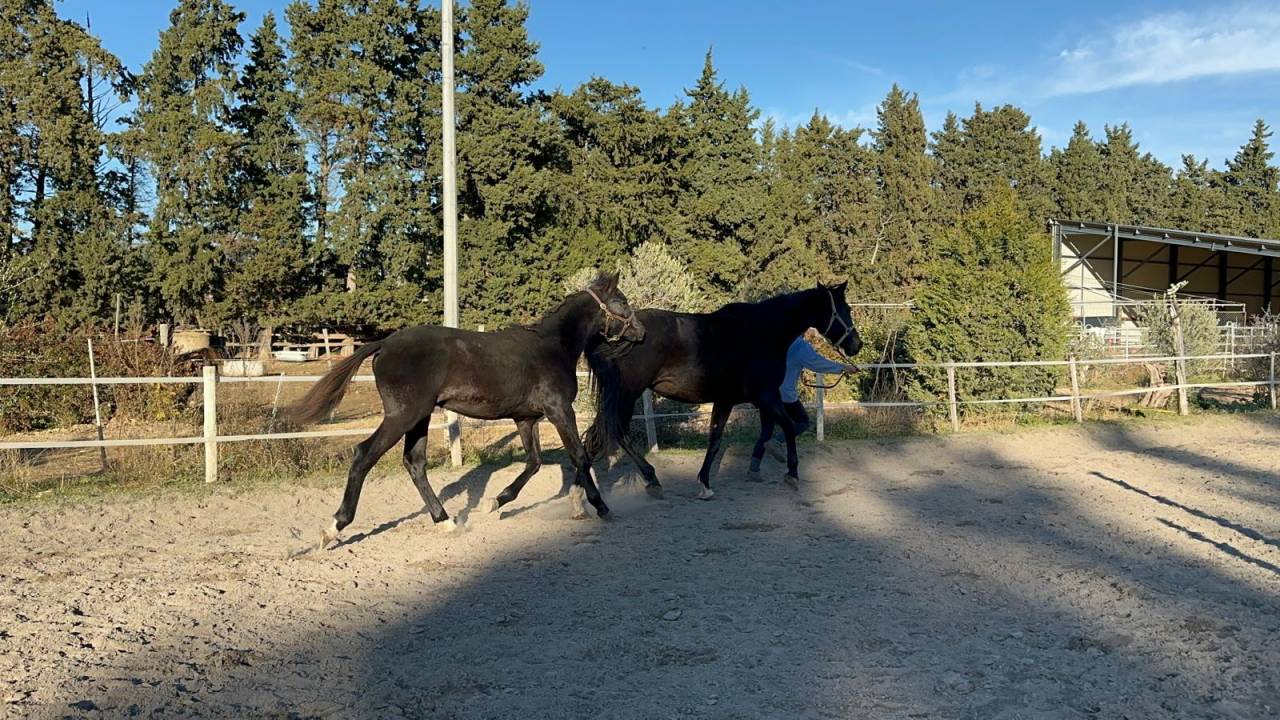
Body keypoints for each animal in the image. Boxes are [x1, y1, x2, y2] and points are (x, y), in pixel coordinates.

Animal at [290, 273, 645, 547]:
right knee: (364, 455)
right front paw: (600, 507)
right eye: (622, 301)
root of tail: (384, 344)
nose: (641, 333)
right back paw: (333, 528)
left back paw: (446, 522)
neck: (553, 347)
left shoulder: (525, 419)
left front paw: (495, 502)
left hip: (419, 417)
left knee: (414, 463)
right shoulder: (559, 411)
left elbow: (533, 462)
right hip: (402, 416)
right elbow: (580, 456)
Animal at [583, 282, 861, 499]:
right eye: (845, 310)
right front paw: (792, 473)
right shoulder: (767, 396)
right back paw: (649, 481)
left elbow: (716, 440)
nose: (856, 344)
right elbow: (790, 428)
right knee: (615, 433)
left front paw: (705, 483)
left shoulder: (728, 400)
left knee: (596, 437)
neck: (764, 332)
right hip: (626, 395)